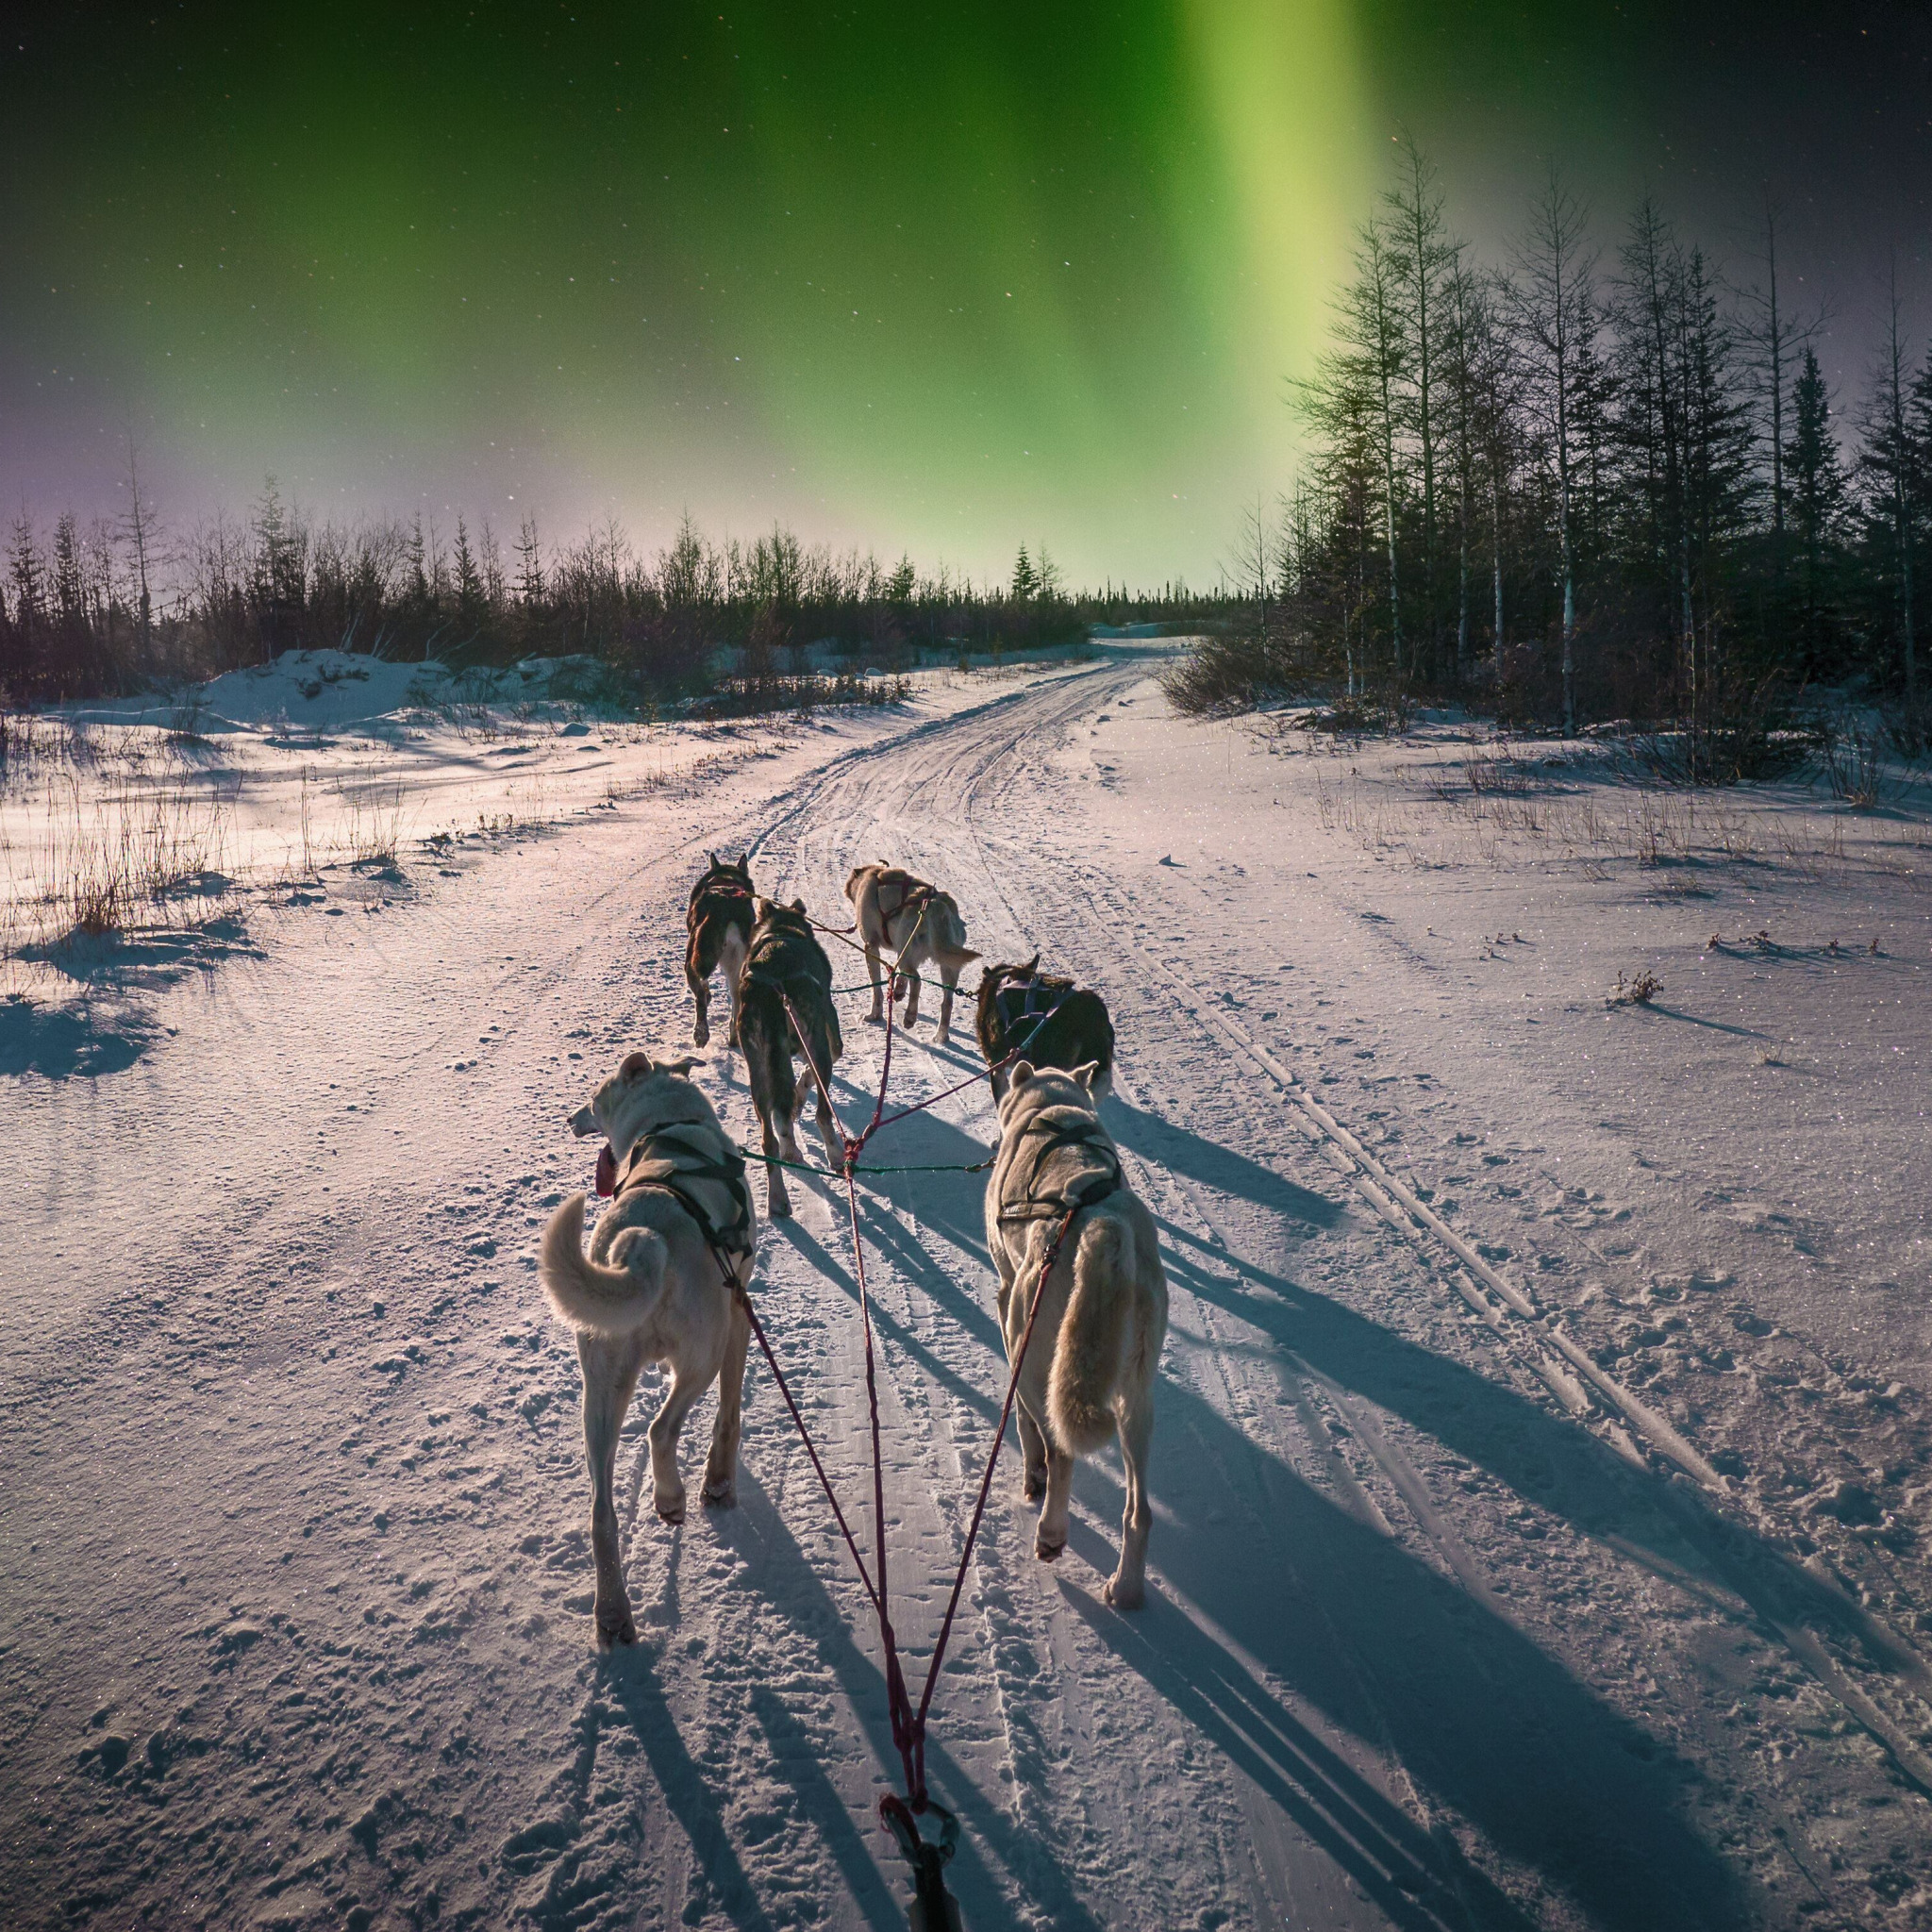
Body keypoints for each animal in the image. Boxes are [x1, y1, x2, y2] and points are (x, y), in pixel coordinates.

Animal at [544, 1058, 760, 1645]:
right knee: (661, 1429)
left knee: (602, 1514)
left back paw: (613, 1614)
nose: (570, 1118)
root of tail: (645, 1242)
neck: (668, 1125)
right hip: (702, 1355)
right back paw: (671, 1498)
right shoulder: (739, 1315)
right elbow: (729, 1415)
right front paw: (718, 1485)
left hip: (600, 1395)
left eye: (594, 1100)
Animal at [846, 865, 981, 1042]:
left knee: (916, 979)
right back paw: (941, 1037)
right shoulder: (903, 952)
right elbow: (901, 978)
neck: (874, 873)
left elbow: (877, 990)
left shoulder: (871, 947)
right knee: (947, 1002)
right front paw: (898, 991)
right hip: (947, 966)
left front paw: (875, 1015)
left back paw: (910, 1017)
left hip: (907, 954)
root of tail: (938, 907)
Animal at [981, 1066, 1158, 1607]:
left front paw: (1032, 1471)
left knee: (1058, 1450)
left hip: (1034, 1348)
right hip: (1135, 1398)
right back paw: (1126, 1589)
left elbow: (1022, 1422)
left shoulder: (1006, 1301)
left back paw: (1050, 1530)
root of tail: (1104, 1226)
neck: (1053, 1107)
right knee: (1140, 1512)